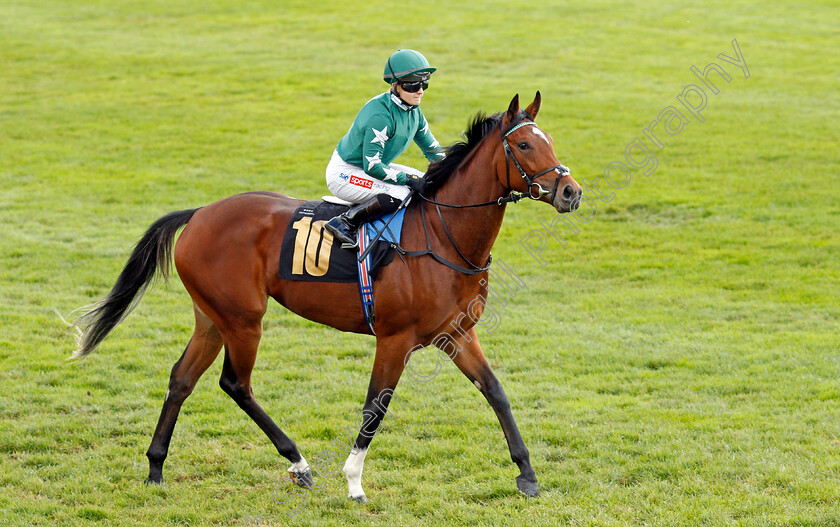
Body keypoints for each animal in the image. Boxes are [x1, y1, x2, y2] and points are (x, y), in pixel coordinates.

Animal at [70, 93, 584, 502]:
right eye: (524, 145)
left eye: (549, 140)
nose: (570, 191)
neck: (443, 234)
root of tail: (199, 213)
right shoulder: (395, 339)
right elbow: (375, 406)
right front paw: (354, 481)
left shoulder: (457, 333)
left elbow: (496, 392)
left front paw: (527, 474)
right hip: (244, 319)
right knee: (236, 383)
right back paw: (297, 462)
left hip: (211, 316)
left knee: (182, 379)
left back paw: (156, 467)